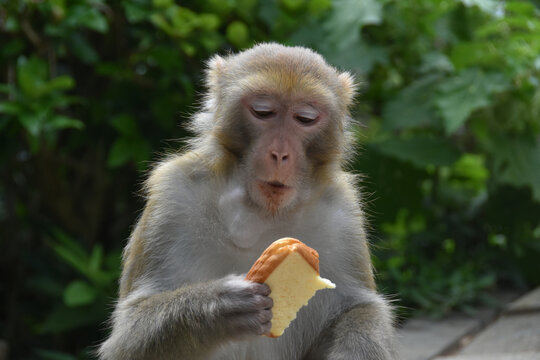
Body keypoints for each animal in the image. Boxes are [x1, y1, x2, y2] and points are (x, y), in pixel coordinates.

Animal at [97, 43, 394, 360]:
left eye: (305, 118)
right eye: (263, 112)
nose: (280, 154)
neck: (259, 212)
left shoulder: (342, 213)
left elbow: (358, 307)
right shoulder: (172, 196)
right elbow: (127, 335)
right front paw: (219, 308)